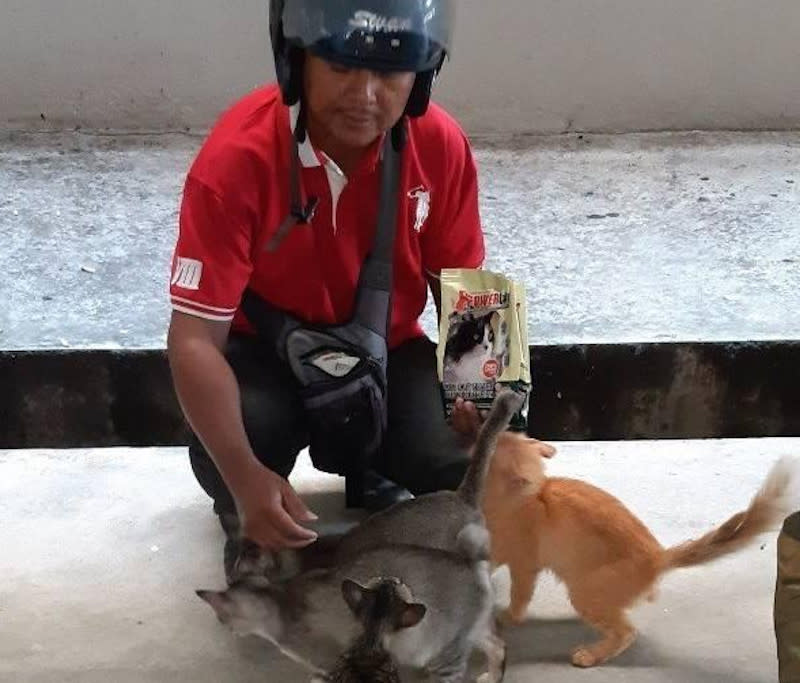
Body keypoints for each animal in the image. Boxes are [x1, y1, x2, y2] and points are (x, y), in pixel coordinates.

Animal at [478, 436, 796, 672]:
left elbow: (518, 596)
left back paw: (590, 655)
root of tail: (658, 557)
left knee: (626, 632)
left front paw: (508, 615)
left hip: (585, 592)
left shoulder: (520, 562)